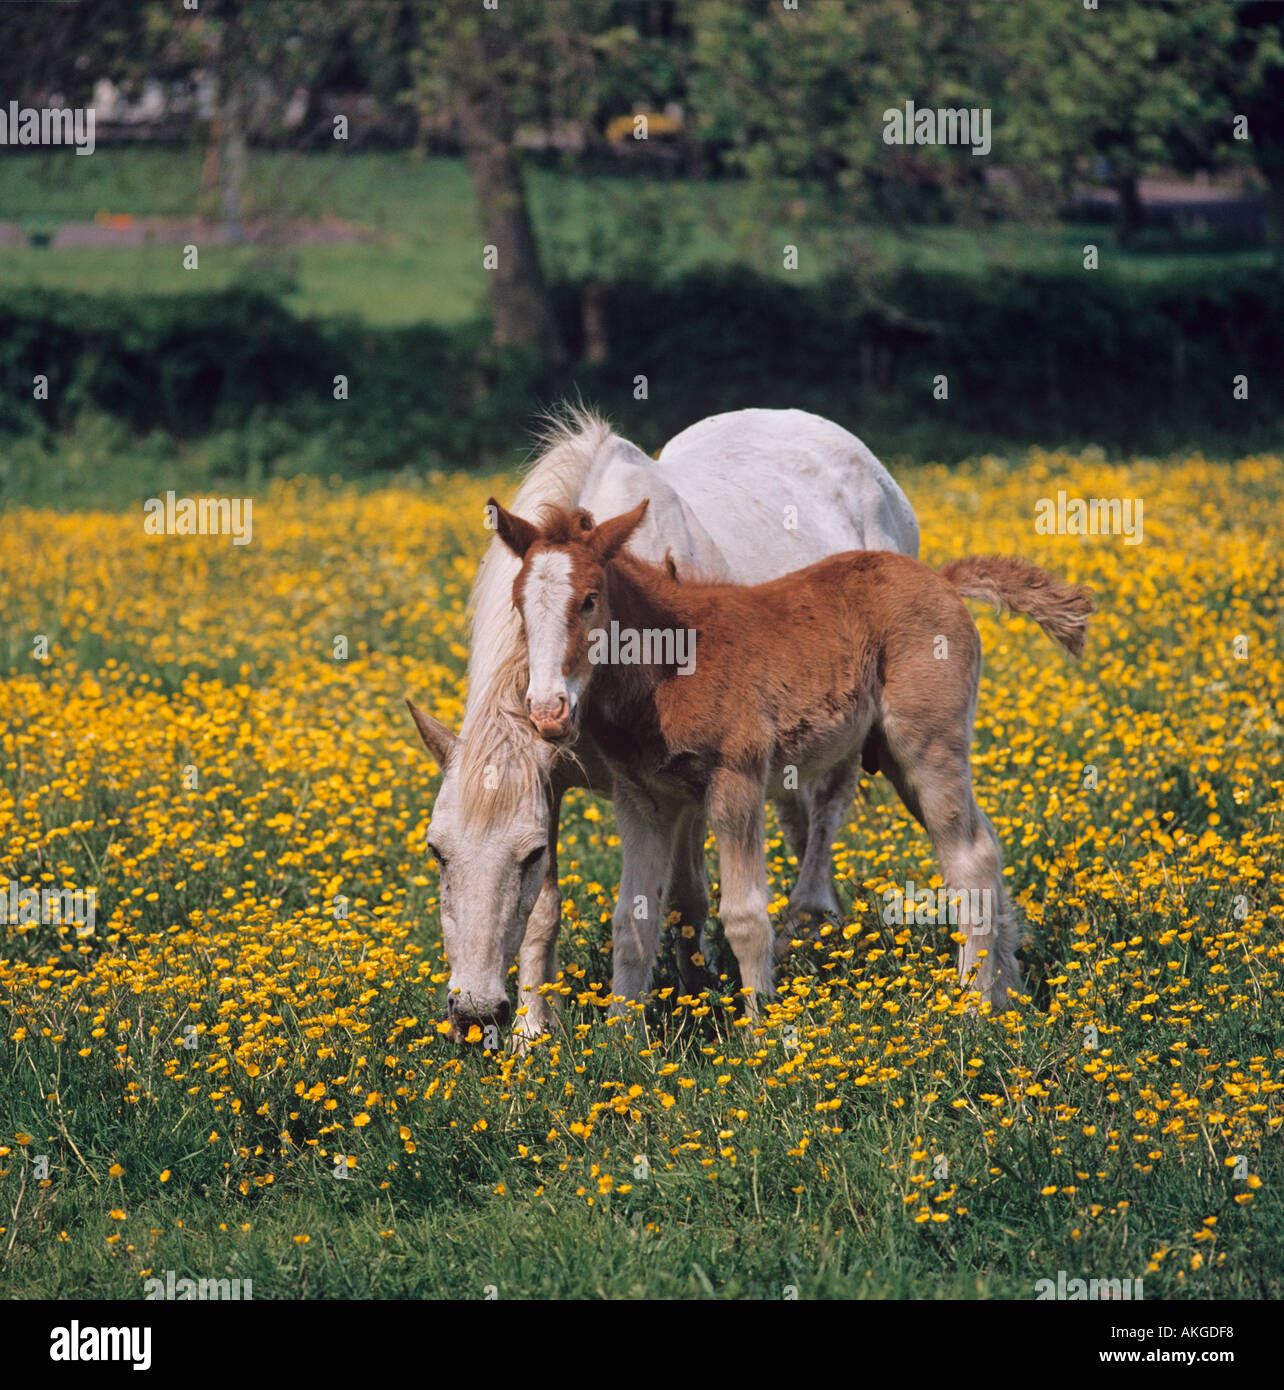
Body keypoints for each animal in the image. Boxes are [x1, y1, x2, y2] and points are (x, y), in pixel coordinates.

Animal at [405, 407, 919, 1043]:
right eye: (437, 852)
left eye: (526, 855)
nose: (475, 1015)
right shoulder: (556, 785)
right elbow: (545, 913)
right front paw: (531, 1033)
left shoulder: (678, 785)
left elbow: (685, 895)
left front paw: (699, 988)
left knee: (827, 809)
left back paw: (811, 920)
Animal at [493, 496, 1094, 1012]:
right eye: (518, 604)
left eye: (589, 600)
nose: (547, 711)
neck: (669, 667)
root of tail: (942, 581)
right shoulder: (645, 802)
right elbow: (632, 922)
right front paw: (623, 1041)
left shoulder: (737, 781)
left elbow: (744, 916)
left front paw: (762, 1035)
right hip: (900, 760)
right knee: (984, 843)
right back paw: (1007, 994)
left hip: (926, 747)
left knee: (970, 858)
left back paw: (974, 1005)